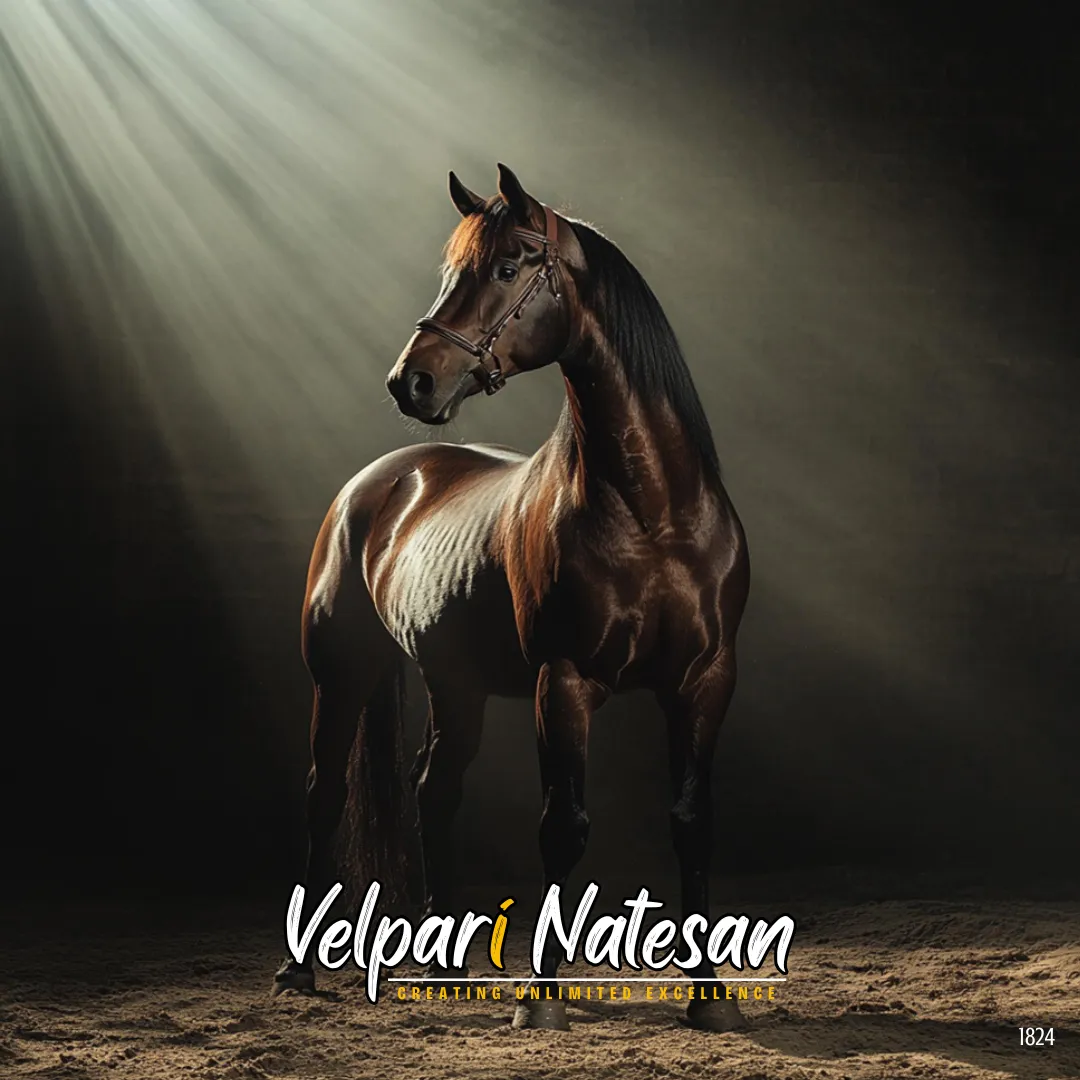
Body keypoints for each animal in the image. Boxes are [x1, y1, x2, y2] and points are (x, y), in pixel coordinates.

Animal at [273, 164, 750, 1032]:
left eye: (504, 268)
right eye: (450, 270)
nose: (411, 380)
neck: (654, 513)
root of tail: (379, 480)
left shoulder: (705, 683)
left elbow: (691, 825)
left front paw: (710, 1000)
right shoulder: (562, 682)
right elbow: (562, 829)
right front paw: (542, 1000)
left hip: (454, 686)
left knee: (434, 790)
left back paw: (443, 970)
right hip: (341, 677)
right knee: (325, 794)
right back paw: (299, 970)